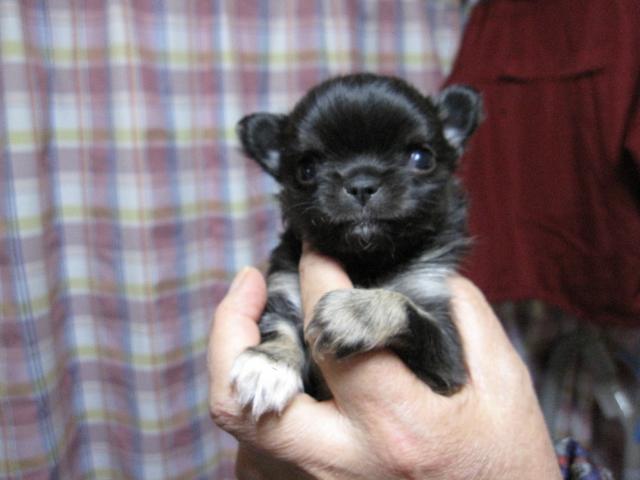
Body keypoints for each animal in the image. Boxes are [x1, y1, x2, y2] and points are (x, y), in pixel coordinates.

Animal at [230, 73, 482, 418]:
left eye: (422, 158)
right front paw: (269, 364)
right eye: (306, 169)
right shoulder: (285, 286)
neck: (365, 260)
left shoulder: (447, 359)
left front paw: (354, 311)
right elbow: (279, 325)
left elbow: (407, 309)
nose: (362, 184)